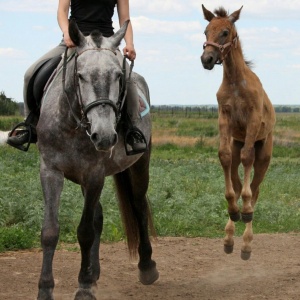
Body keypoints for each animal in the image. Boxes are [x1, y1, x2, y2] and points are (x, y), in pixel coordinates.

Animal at [36, 19, 158, 298]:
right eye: (80, 75)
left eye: (118, 76)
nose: (103, 135)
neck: (72, 124)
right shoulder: (51, 171)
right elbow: (50, 231)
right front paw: (46, 288)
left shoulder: (94, 175)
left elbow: (85, 231)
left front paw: (83, 286)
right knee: (99, 217)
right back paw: (94, 272)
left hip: (140, 165)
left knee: (138, 207)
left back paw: (147, 266)